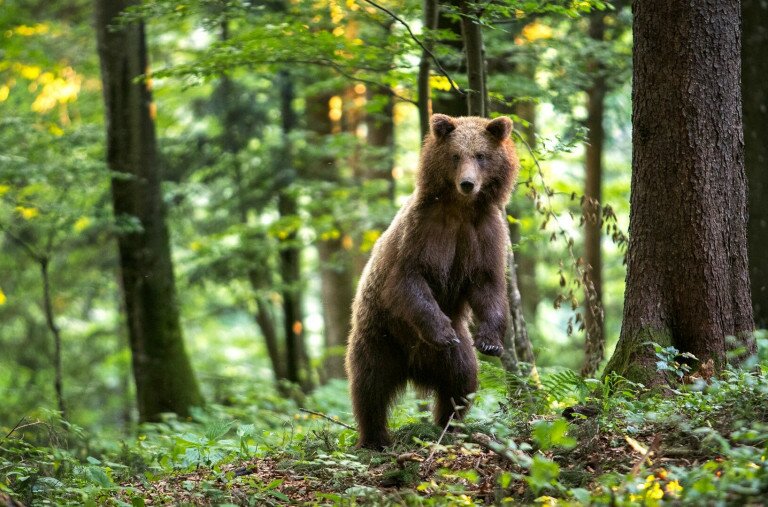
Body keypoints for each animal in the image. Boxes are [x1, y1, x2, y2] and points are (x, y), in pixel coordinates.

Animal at [344, 114, 520, 448]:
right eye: (455, 155)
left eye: (481, 155)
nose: (467, 183)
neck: (461, 209)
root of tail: (415, 369)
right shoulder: (421, 232)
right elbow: (409, 281)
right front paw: (442, 333)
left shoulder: (485, 234)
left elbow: (488, 285)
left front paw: (490, 341)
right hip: (381, 337)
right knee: (369, 386)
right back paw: (374, 438)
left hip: (451, 356)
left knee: (462, 380)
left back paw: (449, 425)